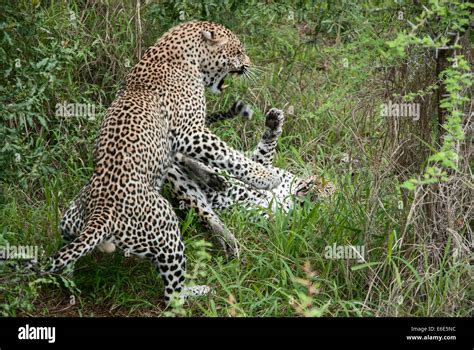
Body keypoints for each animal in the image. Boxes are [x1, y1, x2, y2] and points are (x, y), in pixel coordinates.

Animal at [46, 20, 284, 302]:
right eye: (238, 51)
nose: (248, 64)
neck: (182, 55)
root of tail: (101, 214)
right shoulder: (190, 133)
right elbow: (229, 155)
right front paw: (266, 177)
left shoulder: (175, 143)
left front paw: (215, 179)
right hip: (165, 225)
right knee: (172, 294)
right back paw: (199, 289)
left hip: (70, 218)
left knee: (67, 245)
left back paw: (70, 280)